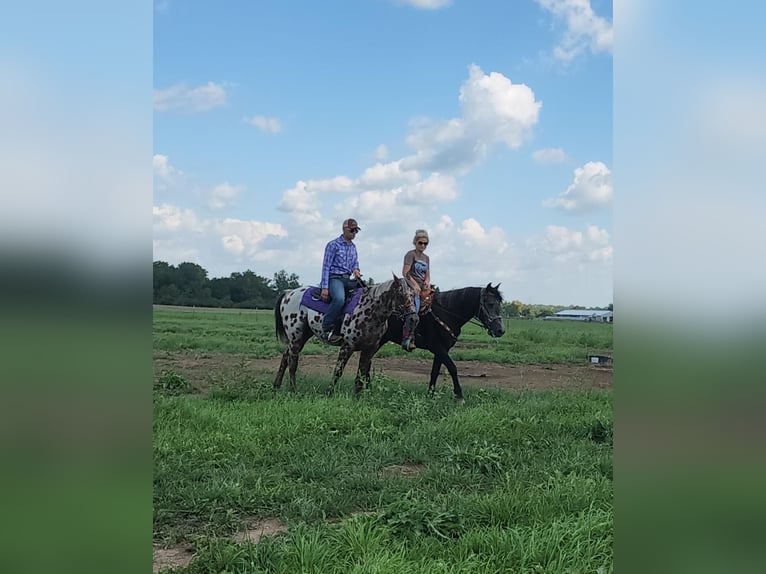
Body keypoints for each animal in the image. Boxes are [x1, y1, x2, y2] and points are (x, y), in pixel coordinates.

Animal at [274, 276, 420, 398]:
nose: (413, 319)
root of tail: (289, 293)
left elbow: (361, 374)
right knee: (293, 363)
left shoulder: (369, 349)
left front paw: (358, 397)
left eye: (413, 295)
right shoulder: (347, 346)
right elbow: (338, 371)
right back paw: (293, 390)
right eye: (401, 294)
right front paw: (329, 394)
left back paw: (276, 385)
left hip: (302, 336)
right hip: (296, 336)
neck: (370, 310)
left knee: (285, 357)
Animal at [376, 286, 508, 402]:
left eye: (499, 304)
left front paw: (430, 395)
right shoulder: (439, 348)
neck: (447, 313)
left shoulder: (441, 351)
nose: (500, 330)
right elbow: (453, 368)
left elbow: (435, 372)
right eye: (490, 303)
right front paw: (459, 396)